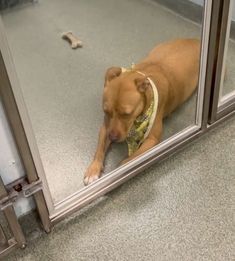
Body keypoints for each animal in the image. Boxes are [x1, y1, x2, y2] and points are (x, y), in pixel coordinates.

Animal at [83, 38, 199, 185]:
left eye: (127, 114)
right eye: (106, 112)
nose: (113, 138)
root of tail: (196, 40)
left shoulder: (151, 140)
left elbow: (128, 161)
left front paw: (118, 172)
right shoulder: (105, 127)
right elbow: (99, 148)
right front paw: (93, 169)